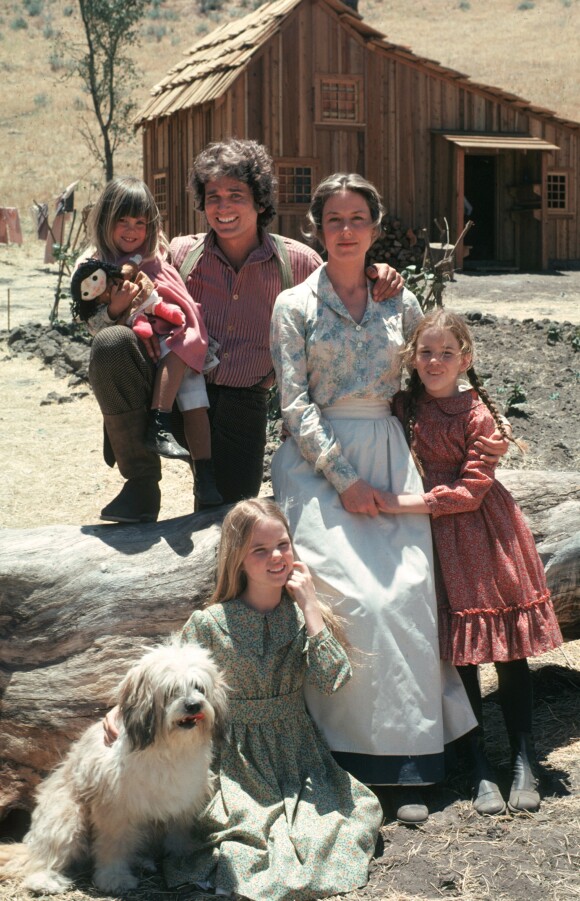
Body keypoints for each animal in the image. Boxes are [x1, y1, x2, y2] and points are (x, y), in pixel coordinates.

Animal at [0, 640, 227, 892]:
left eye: (199, 687)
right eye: (171, 690)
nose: (193, 705)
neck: (167, 748)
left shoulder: (182, 804)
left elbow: (177, 834)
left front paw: (184, 857)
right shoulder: (116, 808)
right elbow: (113, 845)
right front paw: (114, 878)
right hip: (65, 816)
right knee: (45, 855)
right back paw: (44, 879)